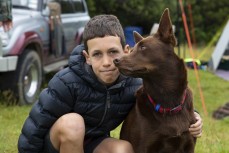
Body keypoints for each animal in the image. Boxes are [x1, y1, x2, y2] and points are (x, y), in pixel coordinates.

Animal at [113, 8, 196, 153]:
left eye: (143, 47)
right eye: (132, 49)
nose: (116, 60)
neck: (167, 100)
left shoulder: (189, 145)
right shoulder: (142, 146)